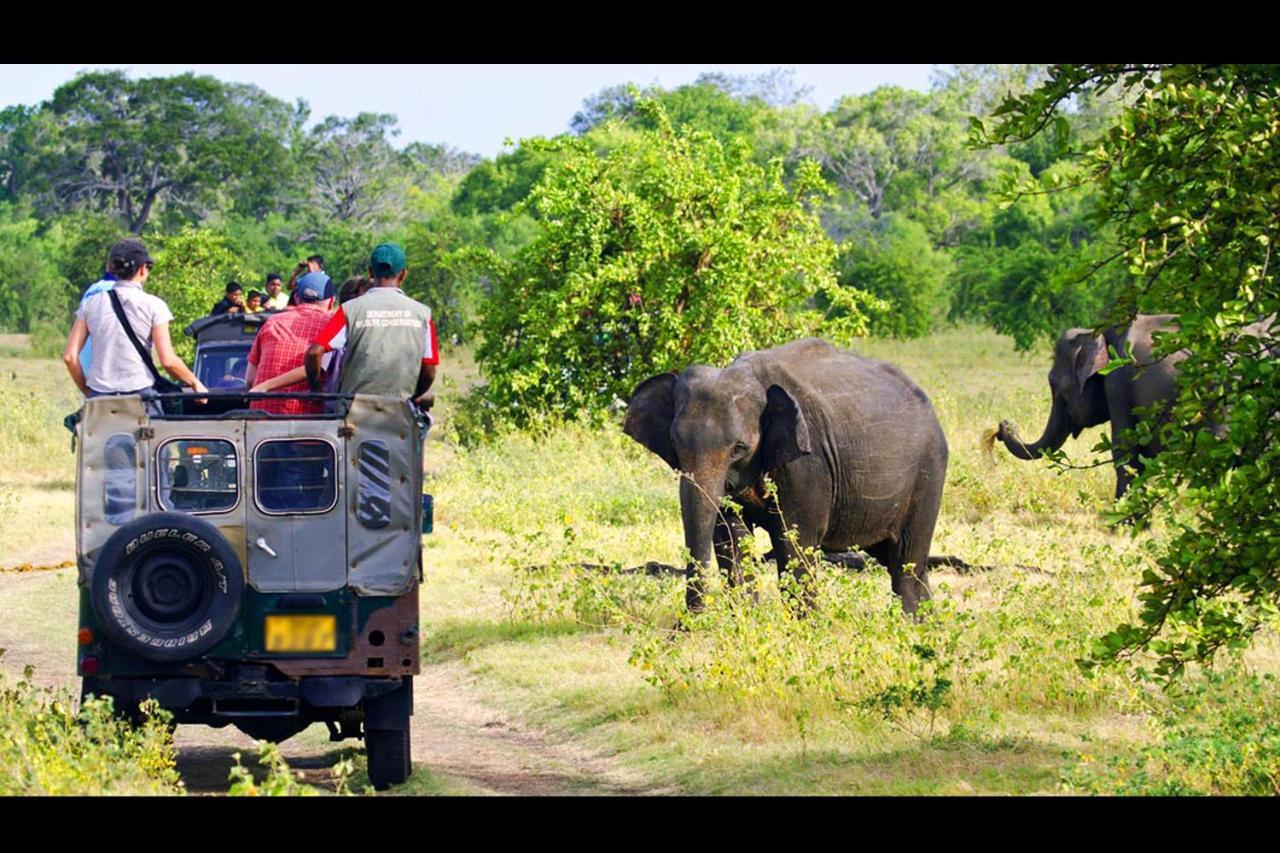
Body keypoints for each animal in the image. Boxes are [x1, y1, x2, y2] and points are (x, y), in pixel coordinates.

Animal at [624, 335, 947, 614]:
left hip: (929, 472)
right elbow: (730, 535)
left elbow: (795, 538)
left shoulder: (809, 462)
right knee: (897, 561)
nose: (686, 626)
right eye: (675, 443)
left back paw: (911, 625)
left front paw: (806, 629)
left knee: (906, 562)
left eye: (739, 448)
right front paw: (746, 620)